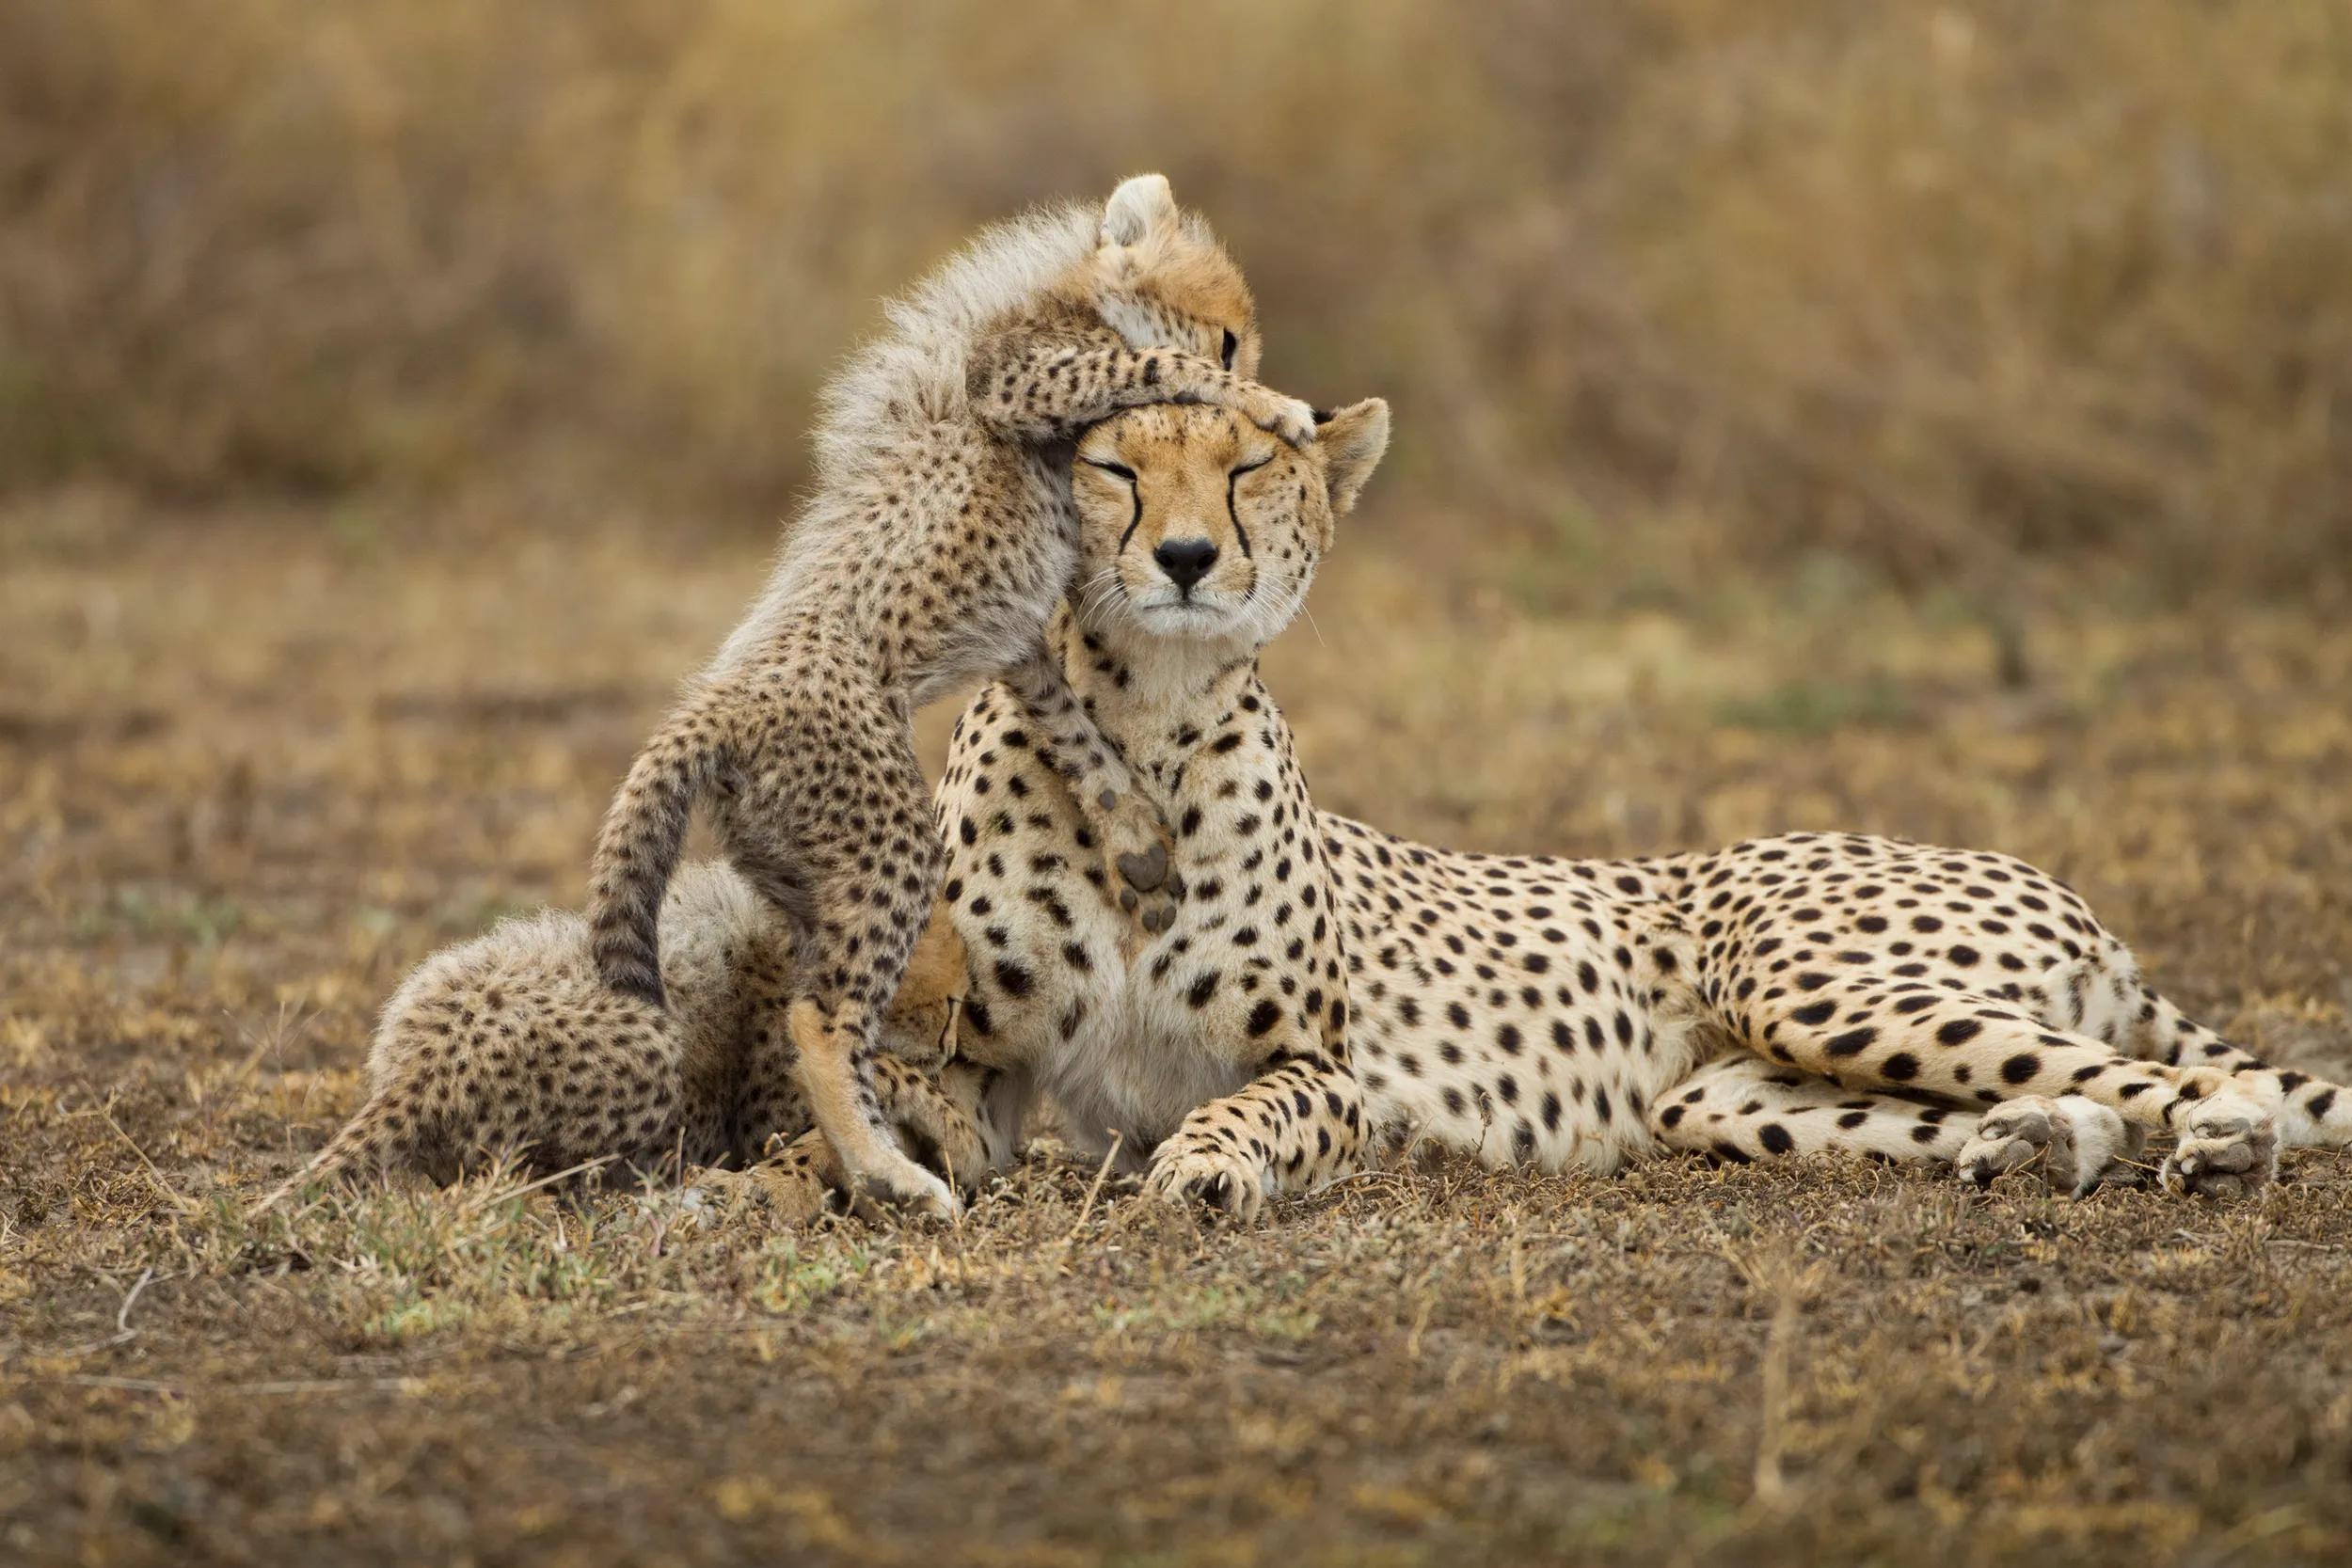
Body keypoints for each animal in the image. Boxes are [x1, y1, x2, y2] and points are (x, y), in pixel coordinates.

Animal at [584, 173, 1316, 1220]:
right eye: (1227, 337)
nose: (1257, 381)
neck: (1066, 292)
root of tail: (710, 706)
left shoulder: (1020, 639)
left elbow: (1076, 730)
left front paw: (1137, 836)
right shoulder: (1017, 375)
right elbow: (1152, 360)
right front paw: (1273, 403)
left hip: (810, 867)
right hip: (887, 843)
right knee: (817, 1017)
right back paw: (893, 1172)